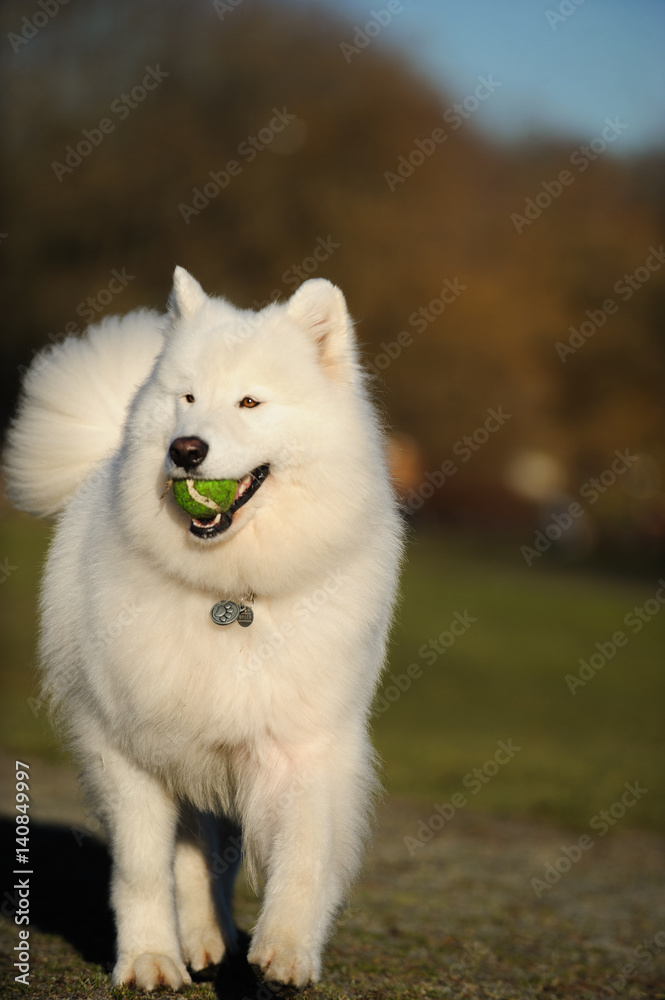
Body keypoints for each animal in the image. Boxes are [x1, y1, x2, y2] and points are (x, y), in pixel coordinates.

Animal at [5, 268, 402, 992]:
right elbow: (142, 867)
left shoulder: (300, 743)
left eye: (250, 401)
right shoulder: (127, 744)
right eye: (186, 397)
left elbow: (304, 853)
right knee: (191, 848)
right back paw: (198, 939)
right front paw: (148, 959)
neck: (230, 595)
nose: (185, 449)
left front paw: (286, 951)